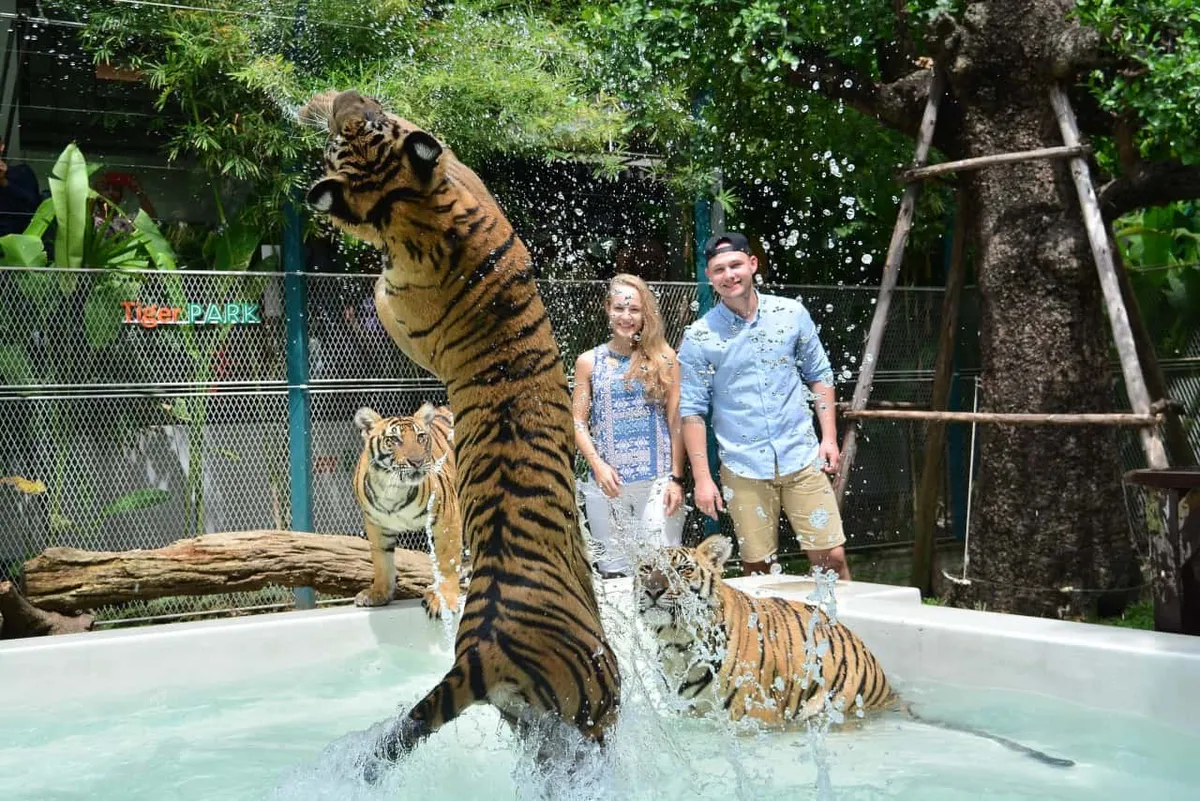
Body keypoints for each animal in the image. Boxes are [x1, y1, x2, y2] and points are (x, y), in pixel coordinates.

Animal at [352, 402, 463, 618]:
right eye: (394, 440)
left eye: (421, 437)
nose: (417, 461)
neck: (393, 490)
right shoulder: (376, 525)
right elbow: (381, 561)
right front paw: (378, 594)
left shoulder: (447, 516)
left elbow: (448, 560)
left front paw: (444, 598)